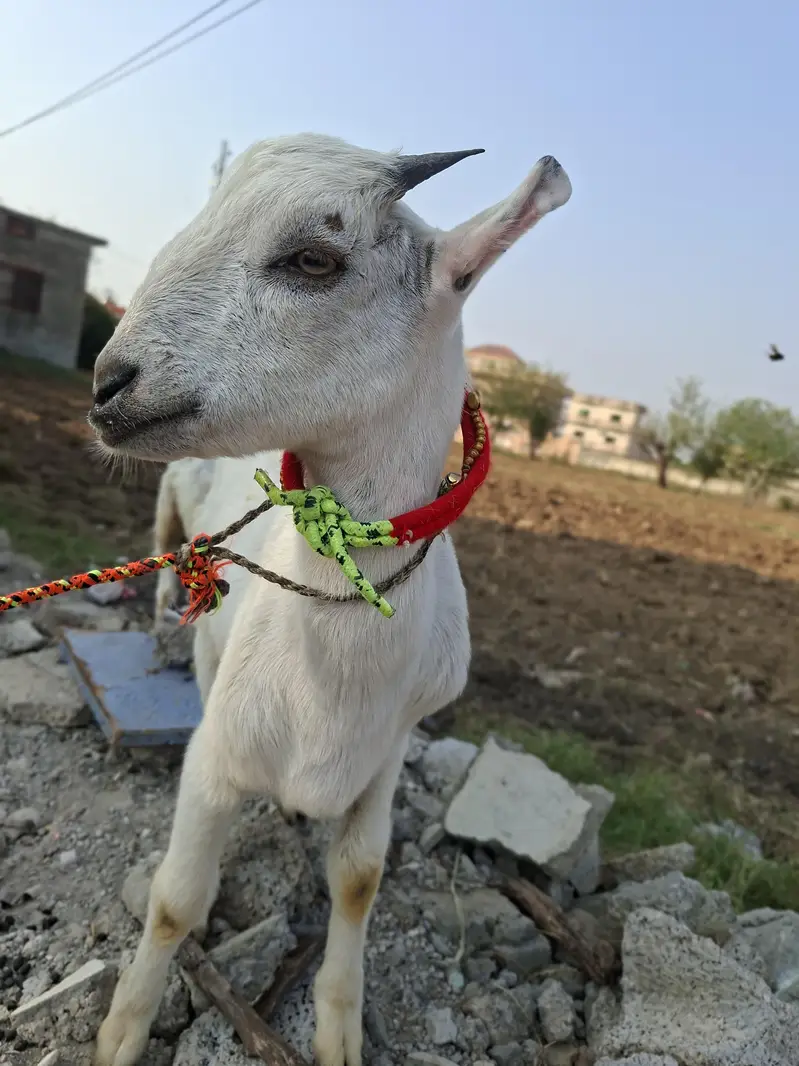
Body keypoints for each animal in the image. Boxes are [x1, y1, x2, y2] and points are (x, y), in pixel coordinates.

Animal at [87, 133, 571, 1066]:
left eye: (313, 259)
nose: (108, 383)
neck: (334, 686)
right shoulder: (218, 755)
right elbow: (175, 898)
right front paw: (122, 1031)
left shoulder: (386, 753)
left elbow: (358, 880)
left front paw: (340, 1027)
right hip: (175, 529)